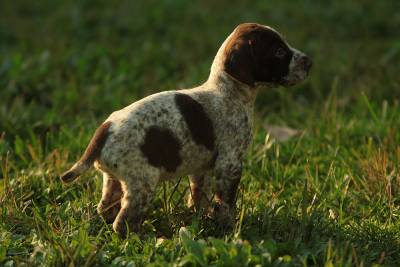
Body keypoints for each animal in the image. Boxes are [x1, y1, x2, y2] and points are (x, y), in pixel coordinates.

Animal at [61, 23, 314, 237]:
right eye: (279, 52)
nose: (309, 62)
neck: (227, 91)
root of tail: (105, 129)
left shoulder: (201, 168)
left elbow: (199, 196)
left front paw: (201, 217)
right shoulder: (230, 164)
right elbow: (225, 203)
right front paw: (228, 229)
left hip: (113, 180)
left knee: (106, 208)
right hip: (143, 183)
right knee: (123, 221)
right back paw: (142, 237)